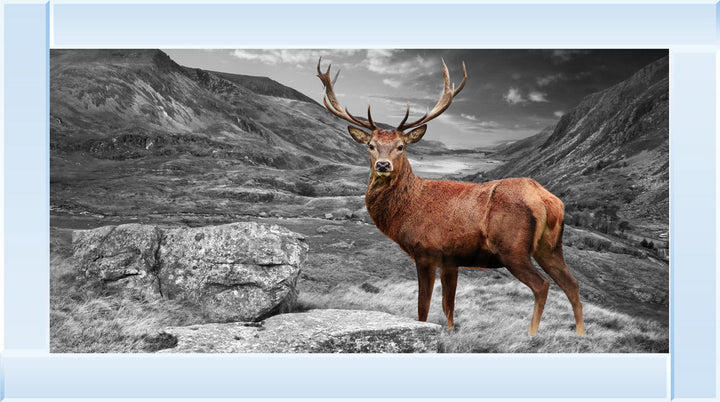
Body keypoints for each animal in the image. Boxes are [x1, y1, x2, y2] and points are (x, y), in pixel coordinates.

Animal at [316, 58, 585, 337]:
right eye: (370, 145)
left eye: (401, 146)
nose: (382, 165)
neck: (407, 210)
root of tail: (547, 200)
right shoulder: (451, 260)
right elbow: (449, 307)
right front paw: (451, 332)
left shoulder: (426, 252)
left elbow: (423, 308)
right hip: (550, 246)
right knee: (572, 284)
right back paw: (581, 334)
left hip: (513, 248)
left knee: (542, 285)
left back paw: (531, 334)